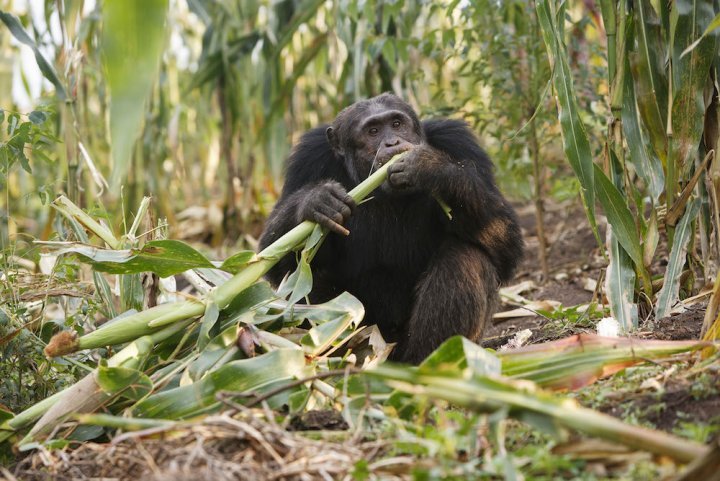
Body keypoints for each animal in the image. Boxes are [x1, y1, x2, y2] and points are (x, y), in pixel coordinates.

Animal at [260, 93, 524, 364]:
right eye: (373, 131)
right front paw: (317, 200)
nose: (392, 142)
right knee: (303, 274)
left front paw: (429, 167)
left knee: (466, 256)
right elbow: (275, 258)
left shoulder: (460, 143)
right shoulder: (307, 158)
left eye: (397, 124)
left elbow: (507, 242)